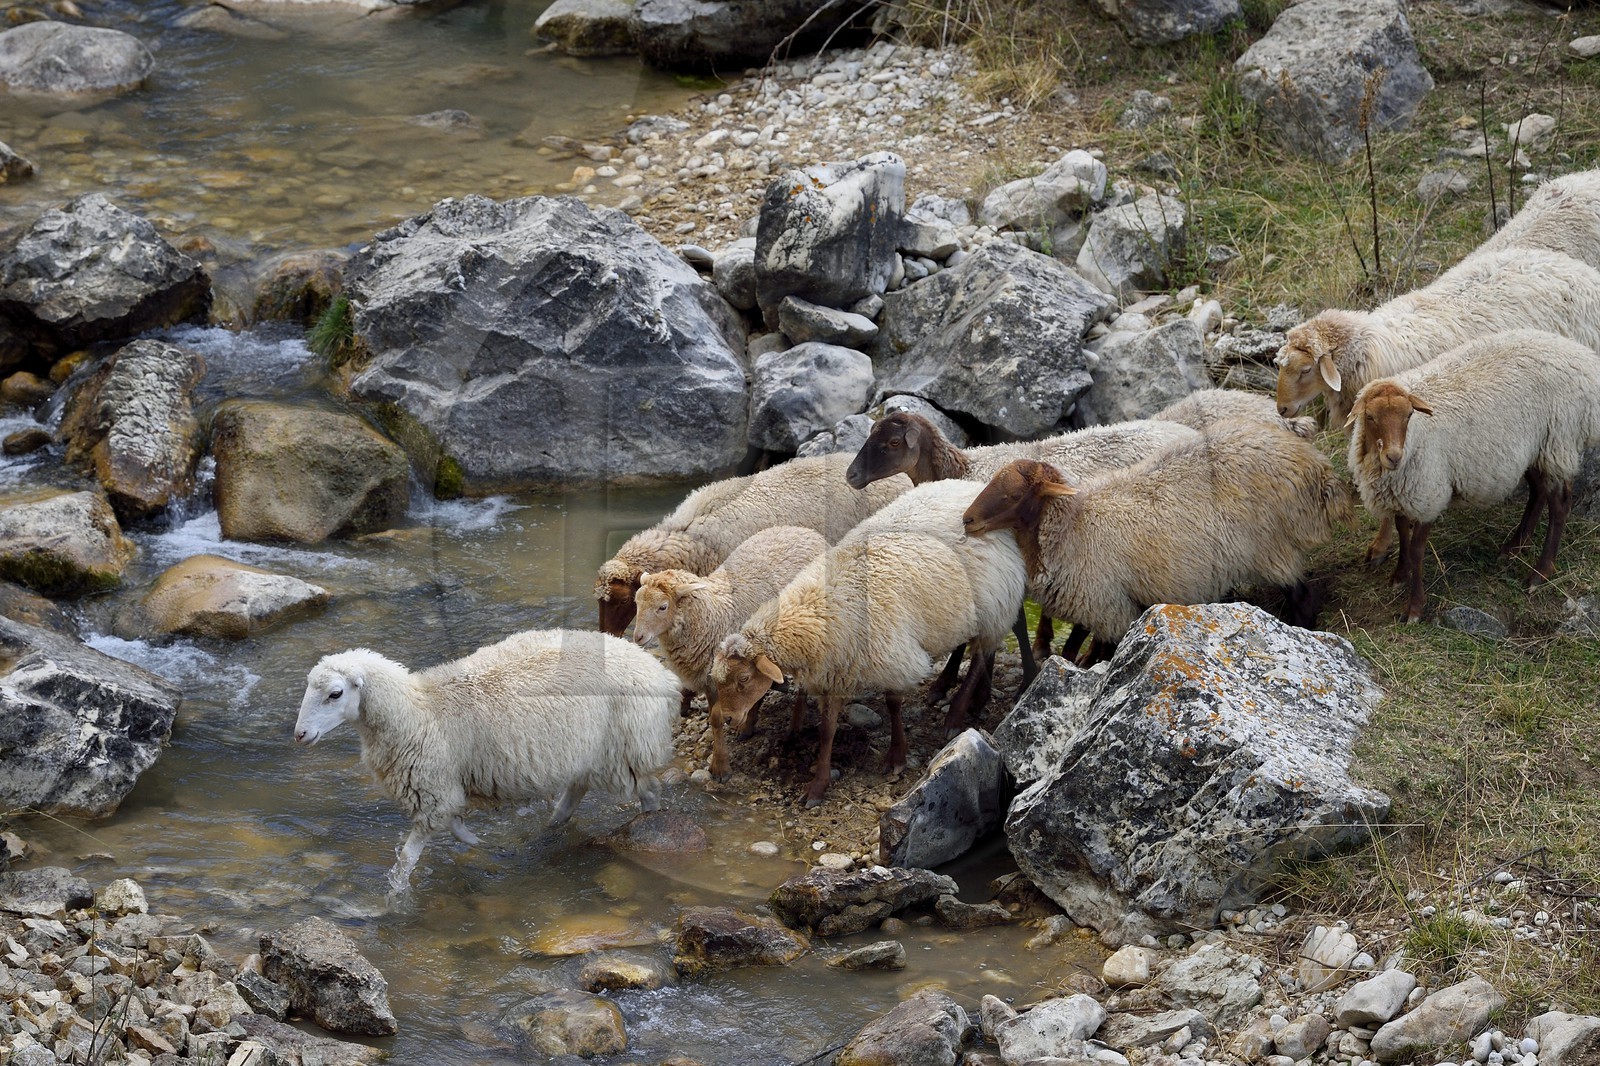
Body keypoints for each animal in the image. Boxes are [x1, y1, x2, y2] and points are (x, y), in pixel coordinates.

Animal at [294, 628, 680, 892]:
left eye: (335, 694)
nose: (299, 735)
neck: (418, 710)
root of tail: (658, 671)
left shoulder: (432, 790)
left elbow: (407, 858)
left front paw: (394, 897)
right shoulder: (442, 787)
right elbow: (454, 825)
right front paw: (481, 843)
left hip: (627, 749)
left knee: (649, 793)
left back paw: (648, 828)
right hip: (587, 752)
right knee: (573, 796)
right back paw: (547, 831)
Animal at [632, 524, 826, 778]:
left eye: (662, 607)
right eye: (637, 602)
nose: (637, 637)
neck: (713, 614)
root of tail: (803, 530)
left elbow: (717, 716)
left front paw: (720, 765)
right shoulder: (712, 678)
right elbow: (717, 717)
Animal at [709, 479, 1027, 806]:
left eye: (744, 678)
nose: (727, 718)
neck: (822, 606)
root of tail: (968, 485)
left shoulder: (892, 657)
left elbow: (894, 705)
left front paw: (897, 755)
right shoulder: (836, 670)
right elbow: (827, 730)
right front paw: (818, 785)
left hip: (994, 606)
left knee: (979, 658)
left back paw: (956, 713)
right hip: (964, 611)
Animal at [961, 420, 1353, 661]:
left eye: (1014, 495)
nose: (967, 520)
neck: (1075, 524)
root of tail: (1314, 466)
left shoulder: (1107, 604)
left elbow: (1099, 649)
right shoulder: (1104, 604)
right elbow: (1076, 646)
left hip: (1271, 547)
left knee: (1301, 595)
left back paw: (1301, 631)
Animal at [1345, 329, 1600, 622]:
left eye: (1409, 415)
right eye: (1370, 416)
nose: (1394, 457)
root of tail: (1581, 355)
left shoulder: (1430, 492)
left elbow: (1418, 549)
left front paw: (1415, 607)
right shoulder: (1403, 493)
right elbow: (1401, 533)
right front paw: (1400, 574)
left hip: (1558, 440)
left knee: (1559, 504)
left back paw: (1539, 573)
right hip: (1534, 448)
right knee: (1538, 492)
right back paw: (1514, 547)